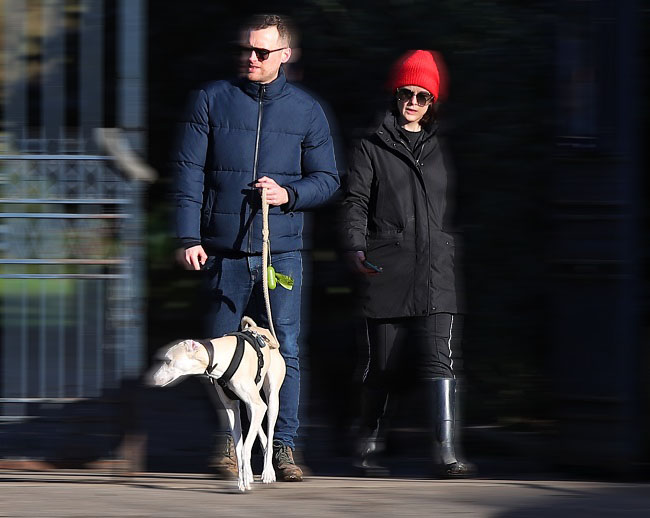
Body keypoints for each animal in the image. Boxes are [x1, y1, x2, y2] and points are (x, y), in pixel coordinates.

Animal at [151, 316, 288, 492]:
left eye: (168, 360)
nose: (153, 379)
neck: (221, 357)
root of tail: (260, 330)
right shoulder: (232, 409)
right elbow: (239, 448)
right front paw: (242, 481)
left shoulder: (258, 406)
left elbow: (245, 448)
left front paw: (246, 480)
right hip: (252, 407)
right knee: (260, 434)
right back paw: (251, 474)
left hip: (271, 401)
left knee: (269, 434)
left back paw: (268, 473)